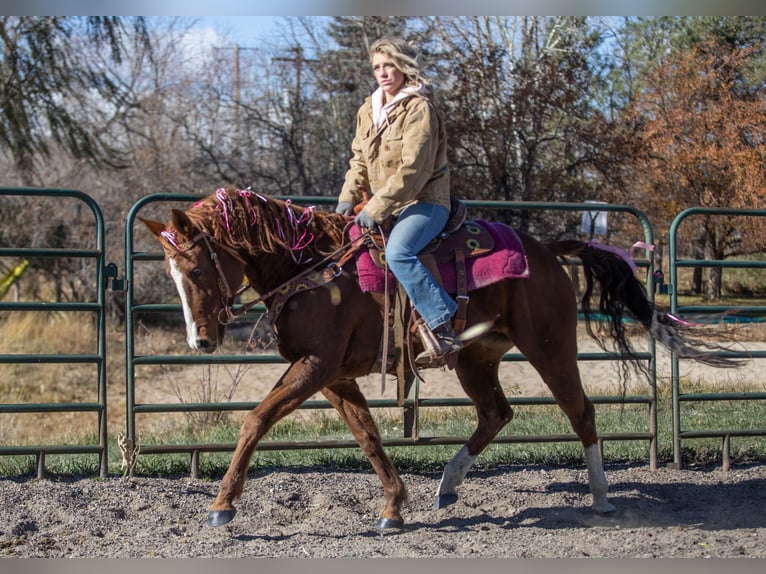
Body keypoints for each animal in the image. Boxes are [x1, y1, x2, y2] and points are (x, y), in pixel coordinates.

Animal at [142, 188, 732, 532]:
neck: (312, 268)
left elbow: (256, 420)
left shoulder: (315, 366)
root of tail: (547, 249)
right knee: (496, 414)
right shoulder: (332, 377)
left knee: (580, 411)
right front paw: (394, 507)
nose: (200, 342)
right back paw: (447, 486)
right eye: (172, 273)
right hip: (476, 359)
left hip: (551, 347)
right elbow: (367, 435)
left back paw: (603, 499)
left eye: (195, 270)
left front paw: (223, 506)